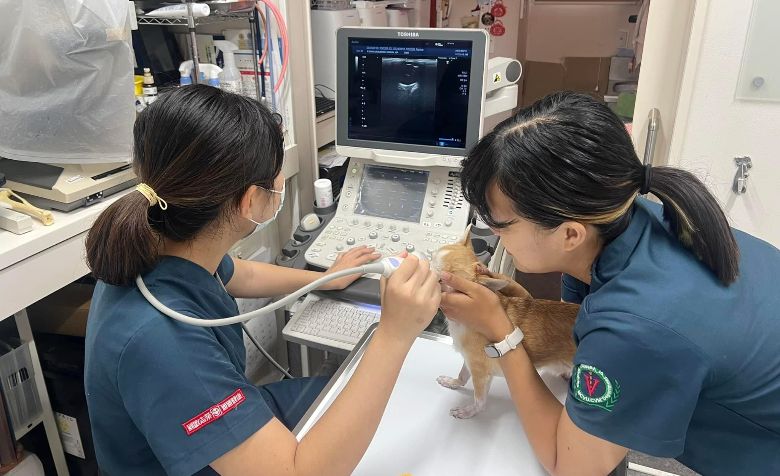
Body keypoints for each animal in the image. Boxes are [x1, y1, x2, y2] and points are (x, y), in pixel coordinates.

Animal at [432, 229, 580, 418]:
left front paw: (467, 412)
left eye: (442, 280)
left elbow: (479, 402)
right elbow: (463, 376)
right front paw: (451, 382)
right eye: (431, 258)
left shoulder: (481, 373)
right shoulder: (470, 361)